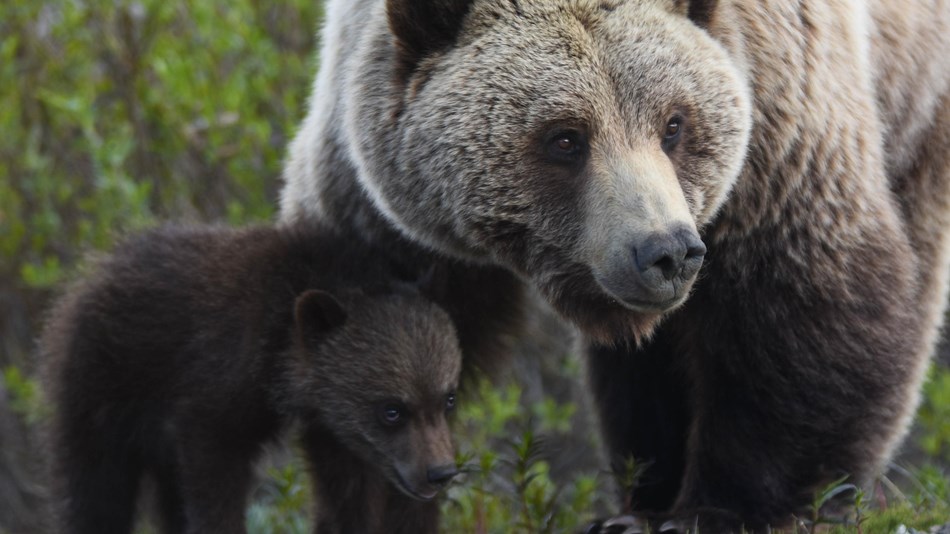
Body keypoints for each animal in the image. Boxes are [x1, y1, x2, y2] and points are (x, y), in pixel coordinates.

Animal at [40, 223, 463, 534]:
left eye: (448, 397)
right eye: (392, 410)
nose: (439, 472)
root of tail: (96, 267)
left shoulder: (335, 433)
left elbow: (347, 496)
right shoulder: (214, 392)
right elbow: (213, 480)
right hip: (103, 388)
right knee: (96, 489)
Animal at [280, 0, 950, 531]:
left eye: (674, 123)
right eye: (565, 137)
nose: (668, 251)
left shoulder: (780, 119)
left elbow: (801, 305)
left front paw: (720, 510)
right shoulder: (380, 199)